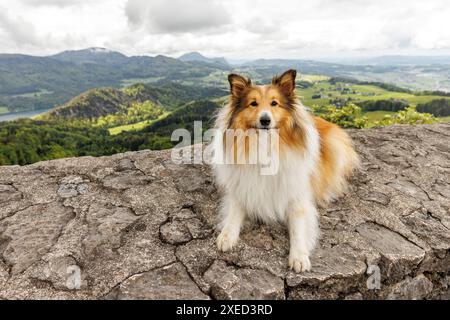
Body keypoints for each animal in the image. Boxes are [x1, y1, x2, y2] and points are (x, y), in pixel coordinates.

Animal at [211, 70, 358, 272]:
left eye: (274, 103)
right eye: (253, 103)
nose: (265, 120)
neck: (265, 145)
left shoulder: (297, 198)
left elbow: (298, 229)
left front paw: (299, 257)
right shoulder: (241, 188)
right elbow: (233, 213)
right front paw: (227, 236)